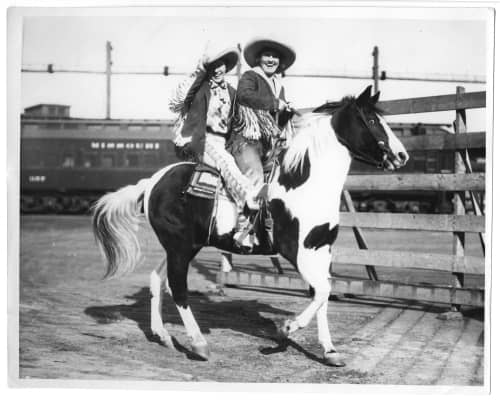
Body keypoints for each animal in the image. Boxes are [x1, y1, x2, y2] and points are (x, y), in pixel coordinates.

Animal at [92, 85, 409, 367]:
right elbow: (321, 292)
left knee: (158, 280)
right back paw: (199, 344)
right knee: (179, 290)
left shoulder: (322, 250)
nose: (402, 155)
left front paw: (330, 351)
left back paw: (163, 335)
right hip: (180, 247)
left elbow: (325, 295)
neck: (303, 182)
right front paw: (287, 328)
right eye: (371, 120)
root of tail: (152, 182)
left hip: (184, 246)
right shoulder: (299, 252)